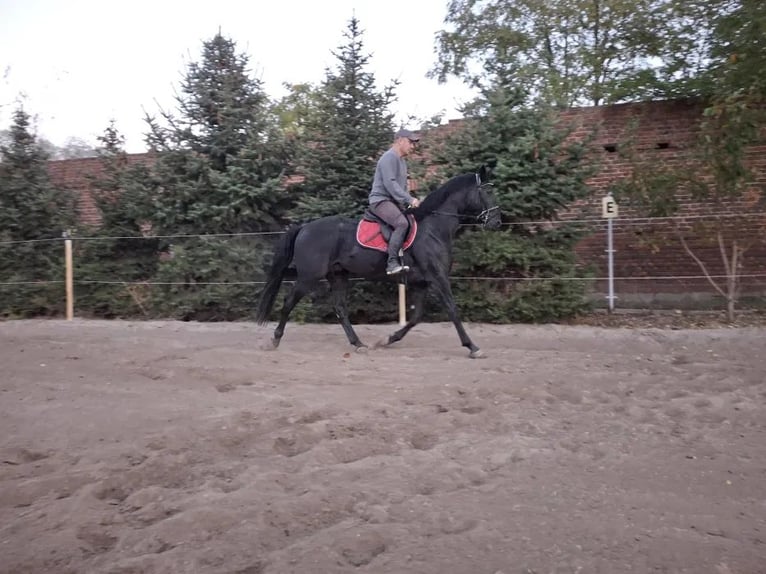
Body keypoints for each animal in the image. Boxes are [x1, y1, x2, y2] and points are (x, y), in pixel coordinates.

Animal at [256, 166, 504, 358]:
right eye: (488, 190)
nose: (497, 222)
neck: (433, 229)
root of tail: (305, 227)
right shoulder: (438, 278)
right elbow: (452, 309)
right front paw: (472, 347)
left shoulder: (422, 283)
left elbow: (416, 317)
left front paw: (387, 339)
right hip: (309, 277)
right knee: (289, 302)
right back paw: (274, 340)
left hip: (338, 275)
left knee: (340, 308)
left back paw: (358, 344)